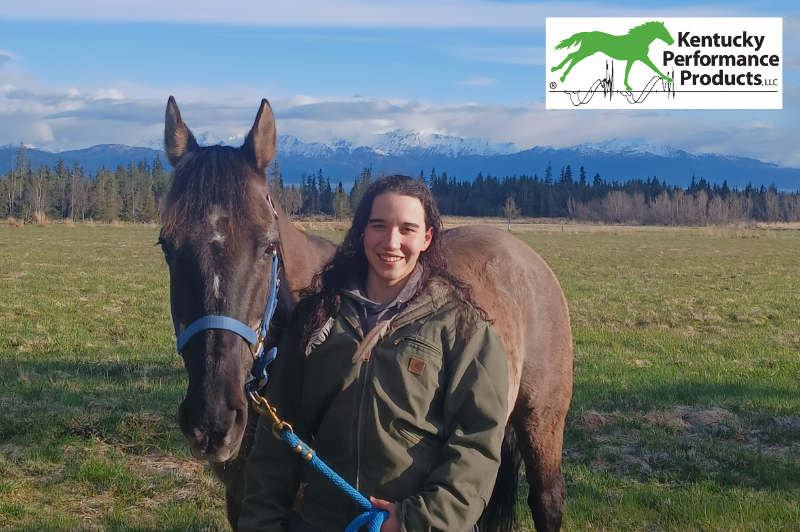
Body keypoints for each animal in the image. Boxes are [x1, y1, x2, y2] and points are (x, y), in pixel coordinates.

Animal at [159, 96, 573, 532]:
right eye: (167, 247)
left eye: (269, 246)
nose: (212, 420)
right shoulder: (242, 502)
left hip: (542, 424)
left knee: (546, 497)